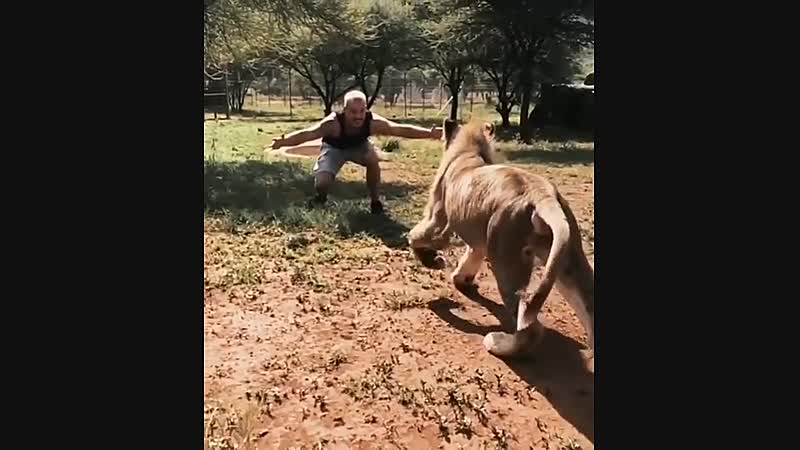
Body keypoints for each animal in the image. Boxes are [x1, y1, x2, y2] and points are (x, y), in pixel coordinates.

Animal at [410, 118, 592, 360]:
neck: (470, 151)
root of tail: (544, 196)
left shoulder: (438, 220)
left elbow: (414, 237)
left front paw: (434, 261)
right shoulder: (478, 237)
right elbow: (470, 257)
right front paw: (462, 279)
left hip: (506, 259)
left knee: (529, 327)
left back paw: (497, 344)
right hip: (566, 260)